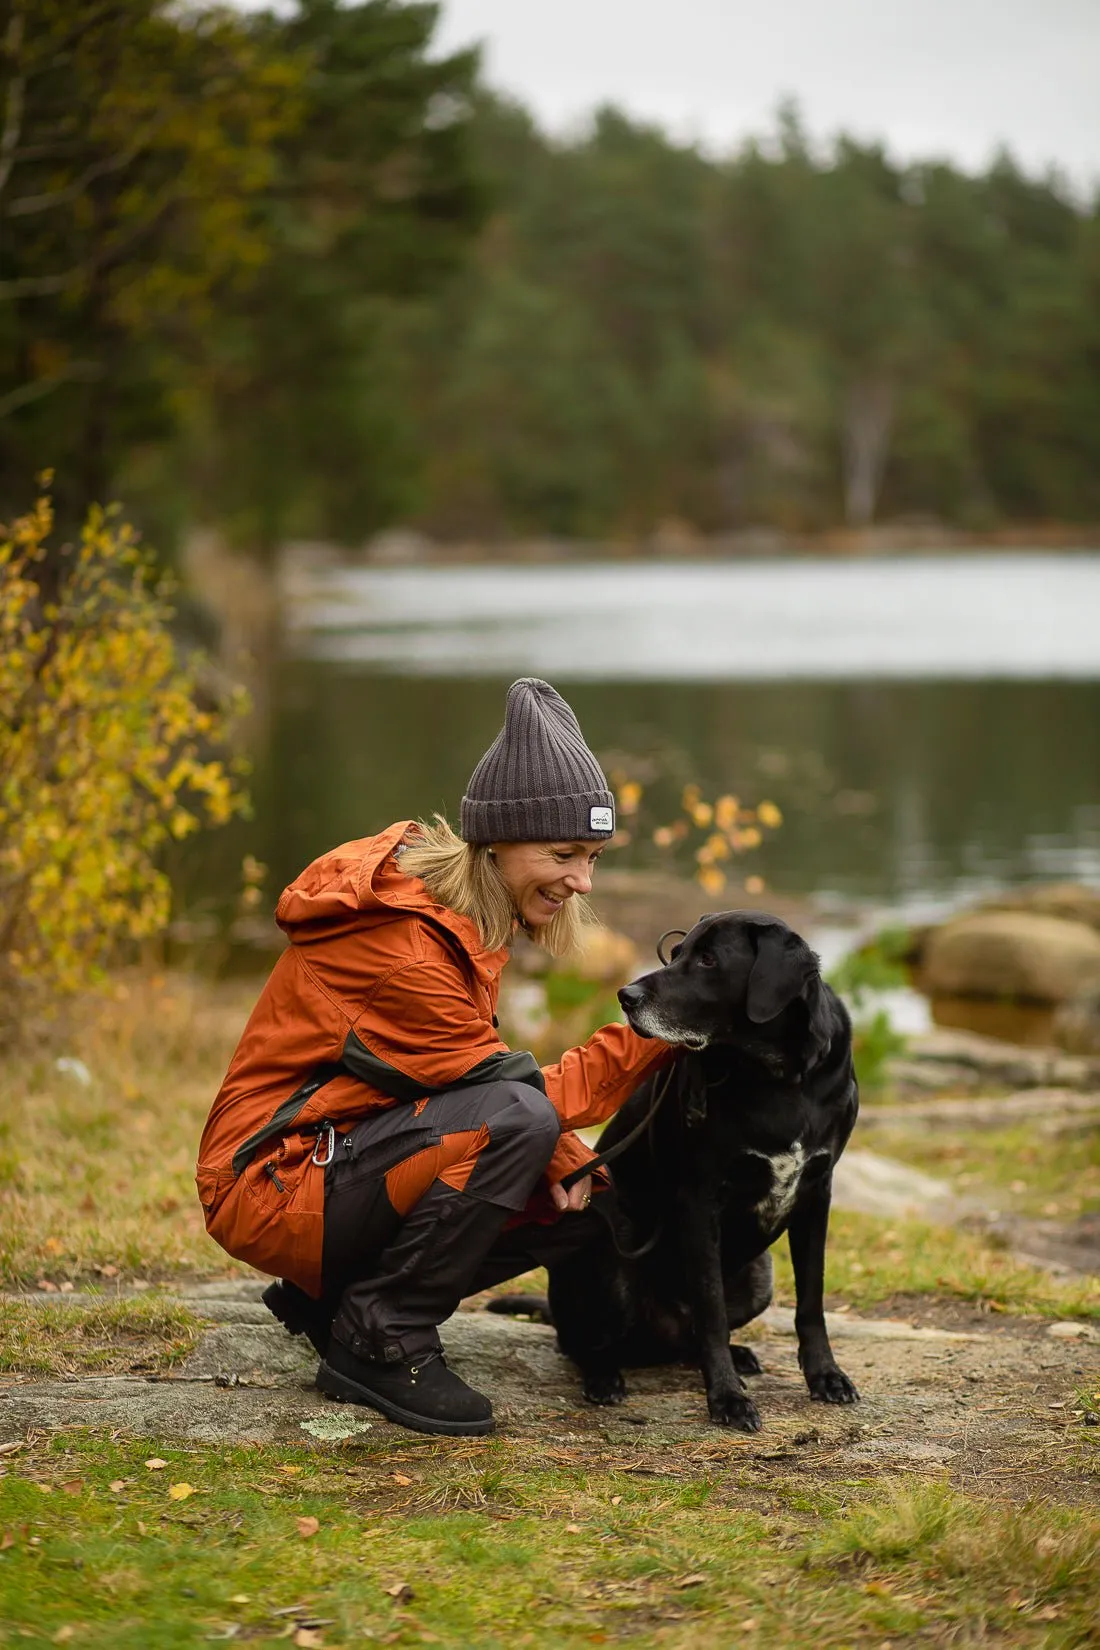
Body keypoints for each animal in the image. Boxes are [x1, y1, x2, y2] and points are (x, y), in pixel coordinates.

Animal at [491, 910, 857, 1438]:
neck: (778, 1076)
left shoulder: (816, 1192)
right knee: (583, 1341)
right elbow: (711, 1309)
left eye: (707, 960)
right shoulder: (699, 1200)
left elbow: (811, 1300)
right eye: (678, 953)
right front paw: (727, 1398)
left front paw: (825, 1375)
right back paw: (605, 1376)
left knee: (689, 1336)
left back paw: (735, 1356)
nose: (625, 996)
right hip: (609, 1266)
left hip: (759, 1276)